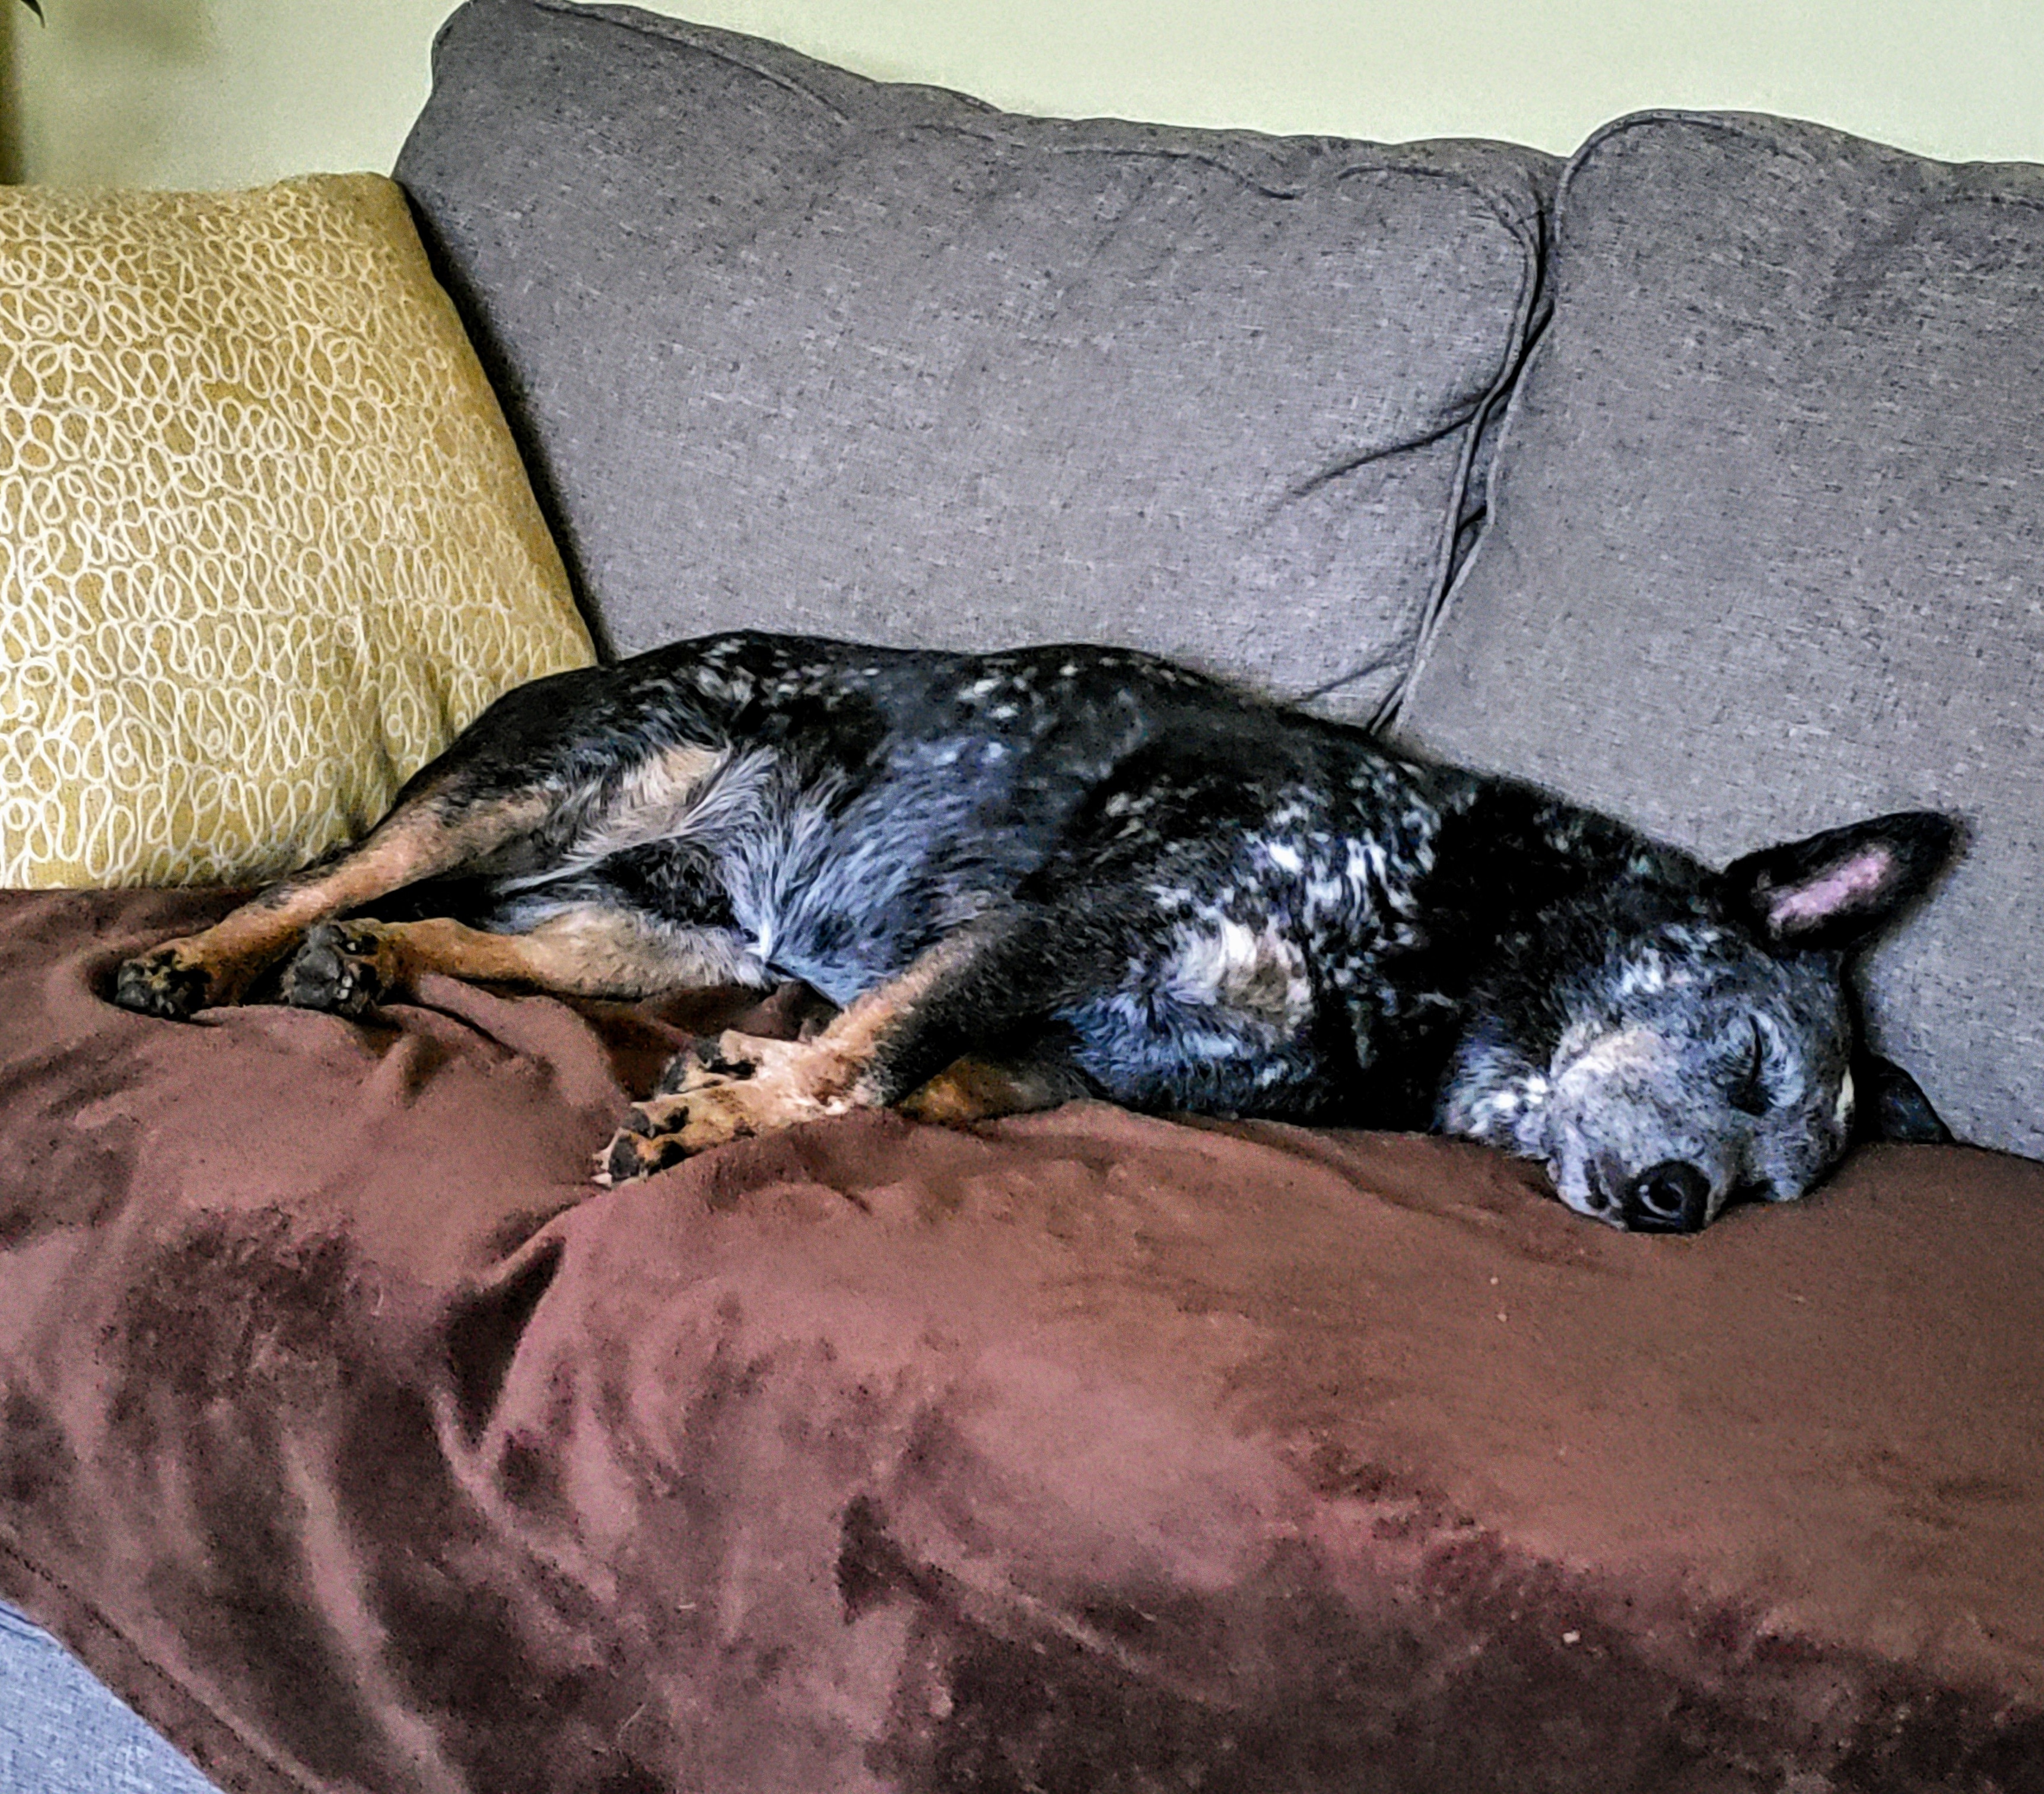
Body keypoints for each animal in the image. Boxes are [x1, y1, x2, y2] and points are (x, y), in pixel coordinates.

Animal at [112, 630, 1958, 1232]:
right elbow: (867, 1065)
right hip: (538, 782)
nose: (1680, 1205)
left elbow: (906, 1070)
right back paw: (209, 957)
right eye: (1745, 1058)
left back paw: (377, 969)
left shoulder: (1069, 1060)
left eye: (1780, 1191)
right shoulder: (1079, 918)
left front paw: (736, 1082)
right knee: (332, 874)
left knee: (479, 938)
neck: (1438, 958)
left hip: (666, 934)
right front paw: (729, 1116)